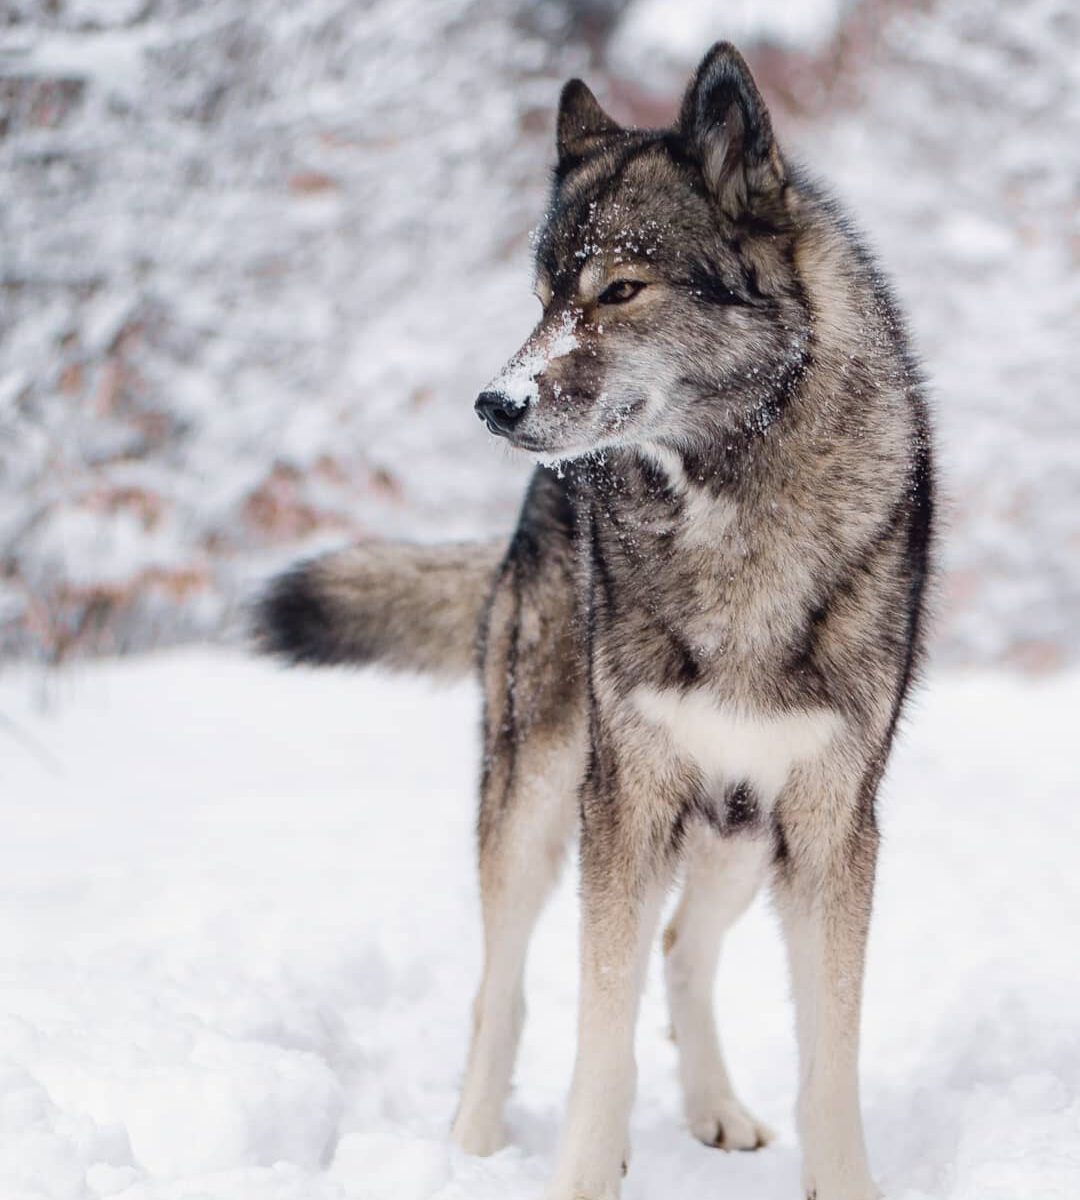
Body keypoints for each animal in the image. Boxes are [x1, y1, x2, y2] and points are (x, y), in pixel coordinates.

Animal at [256, 42, 931, 1195]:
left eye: (620, 289)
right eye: (541, 297)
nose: (496, 403)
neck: (735, 516)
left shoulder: (832, 826)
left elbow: (828, 1057)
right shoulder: (623, 806)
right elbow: (599, 1038)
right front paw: (584, 1169)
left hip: (737, 831)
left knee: (681, 951)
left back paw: (713, 1108)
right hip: (538, 796)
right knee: (504, 989)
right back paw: (471, 1144)